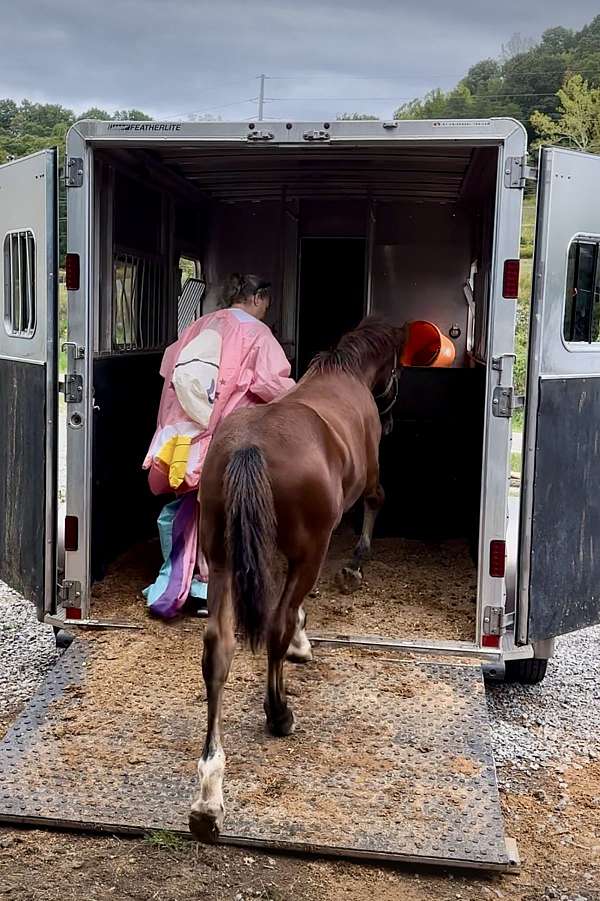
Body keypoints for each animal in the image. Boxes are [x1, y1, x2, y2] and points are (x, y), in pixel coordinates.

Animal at [188, 314, 406, 836]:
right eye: (397, 364)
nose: (391, 414)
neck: (345, 374)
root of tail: (249, 447)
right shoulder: (357, 494)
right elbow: (375, 502)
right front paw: (355, 566)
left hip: (222, 562)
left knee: (219, 649)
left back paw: (209, 794)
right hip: (304, 552)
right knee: (276, 625)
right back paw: (279, 713)